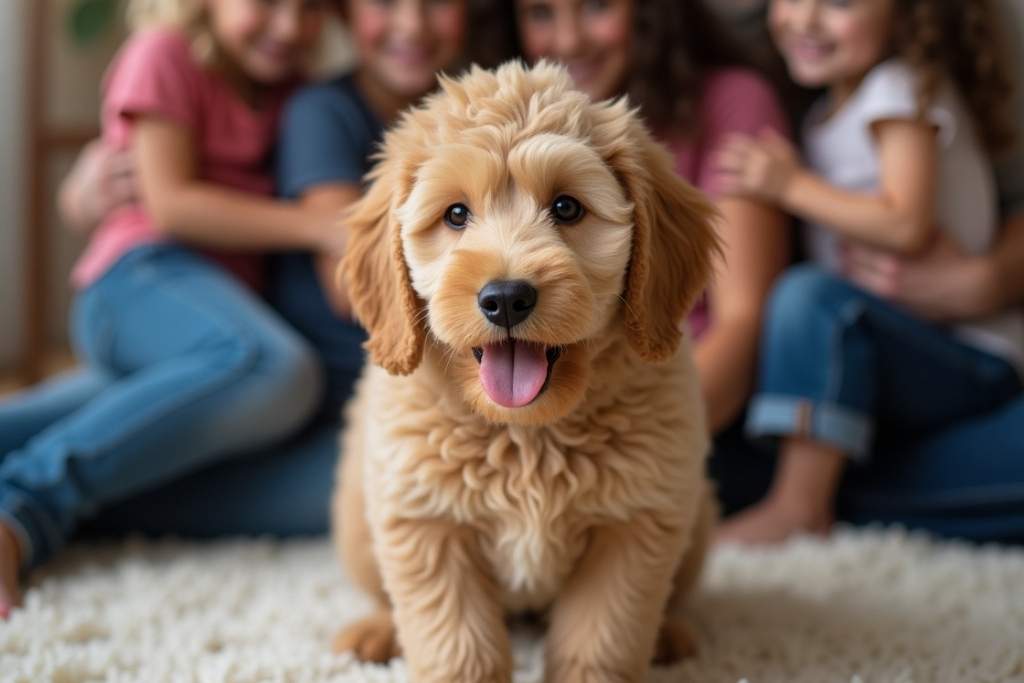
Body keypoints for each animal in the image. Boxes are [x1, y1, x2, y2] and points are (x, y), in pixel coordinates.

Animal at [331, 60, 716, 683]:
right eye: (456, 214)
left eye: (566, 208)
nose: (506, 298)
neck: (526, 433)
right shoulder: (425, 523)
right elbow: (457, 646)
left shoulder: (634, 525)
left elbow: (600, 642)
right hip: (358, 524)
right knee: (380, 592)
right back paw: (373, 631)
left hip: (697, 516)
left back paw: (672, 634)